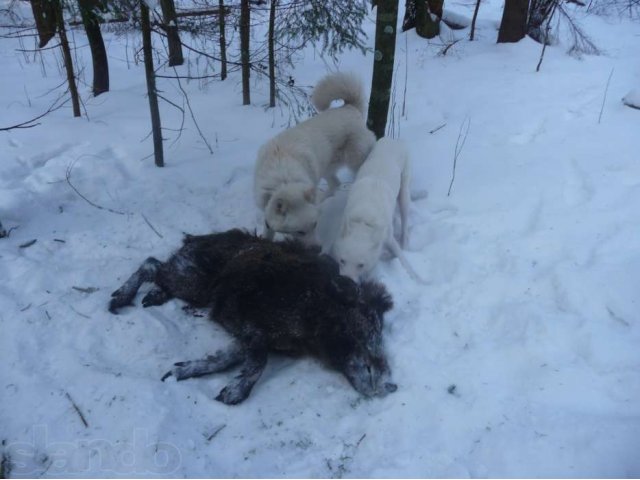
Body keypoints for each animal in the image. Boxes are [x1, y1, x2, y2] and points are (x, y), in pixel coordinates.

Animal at [254, 72, 376, 240]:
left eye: (315, 225)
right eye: (300, 231)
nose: (317, 247)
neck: (284, 180)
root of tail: (350, 107)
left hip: (354, 160)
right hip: (326, 167)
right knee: (335, 184)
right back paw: (323, 198)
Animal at [330, 137, 424, 284]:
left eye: (361, 265)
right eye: (342, 260)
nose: (345, 282)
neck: (364, 220)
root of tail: (393, 139)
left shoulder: (389, 239)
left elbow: (404, 262)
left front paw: (418, 280)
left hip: (404, 192)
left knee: (404, 220)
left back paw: (405, 241)